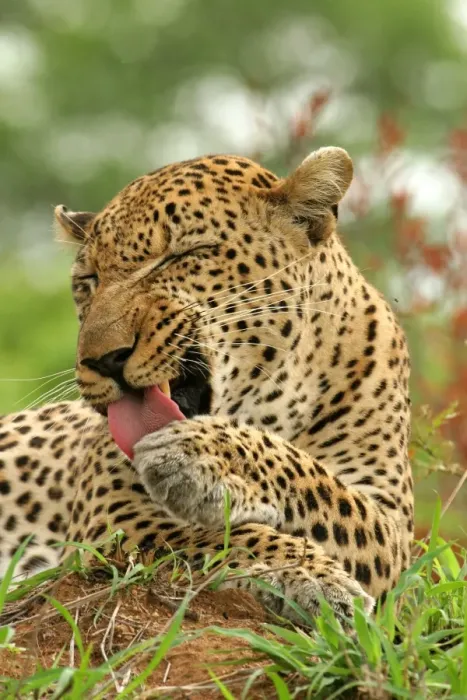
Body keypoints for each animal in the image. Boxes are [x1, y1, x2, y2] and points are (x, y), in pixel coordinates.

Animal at [0, 147, 413, 624]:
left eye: (183, 255)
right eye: (89, 281)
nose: (102, 360)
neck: (274, 401)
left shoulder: (393, 524)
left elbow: (322, 489)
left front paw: (205, 457)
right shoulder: (112, 510)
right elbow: (219, 537)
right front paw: (312, 575)